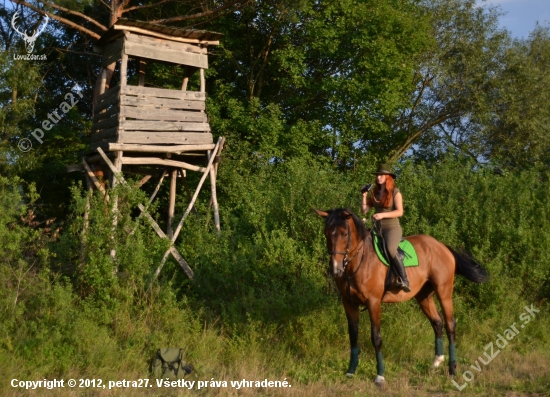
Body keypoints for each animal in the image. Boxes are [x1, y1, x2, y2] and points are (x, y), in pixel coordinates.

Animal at [316, 207, 490, 386]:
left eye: (344, 234)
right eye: (326, 233)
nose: (335, 269)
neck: (359, 261)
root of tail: (442, 247)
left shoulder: (373, 303)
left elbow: (376, 338)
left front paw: (380, 375)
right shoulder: (349, 303)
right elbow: (353, 335)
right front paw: (351, 370)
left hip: (444, 292)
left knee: (450, 324)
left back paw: (452, 369)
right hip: (423, 296)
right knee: (437, 321)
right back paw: (436, 361)